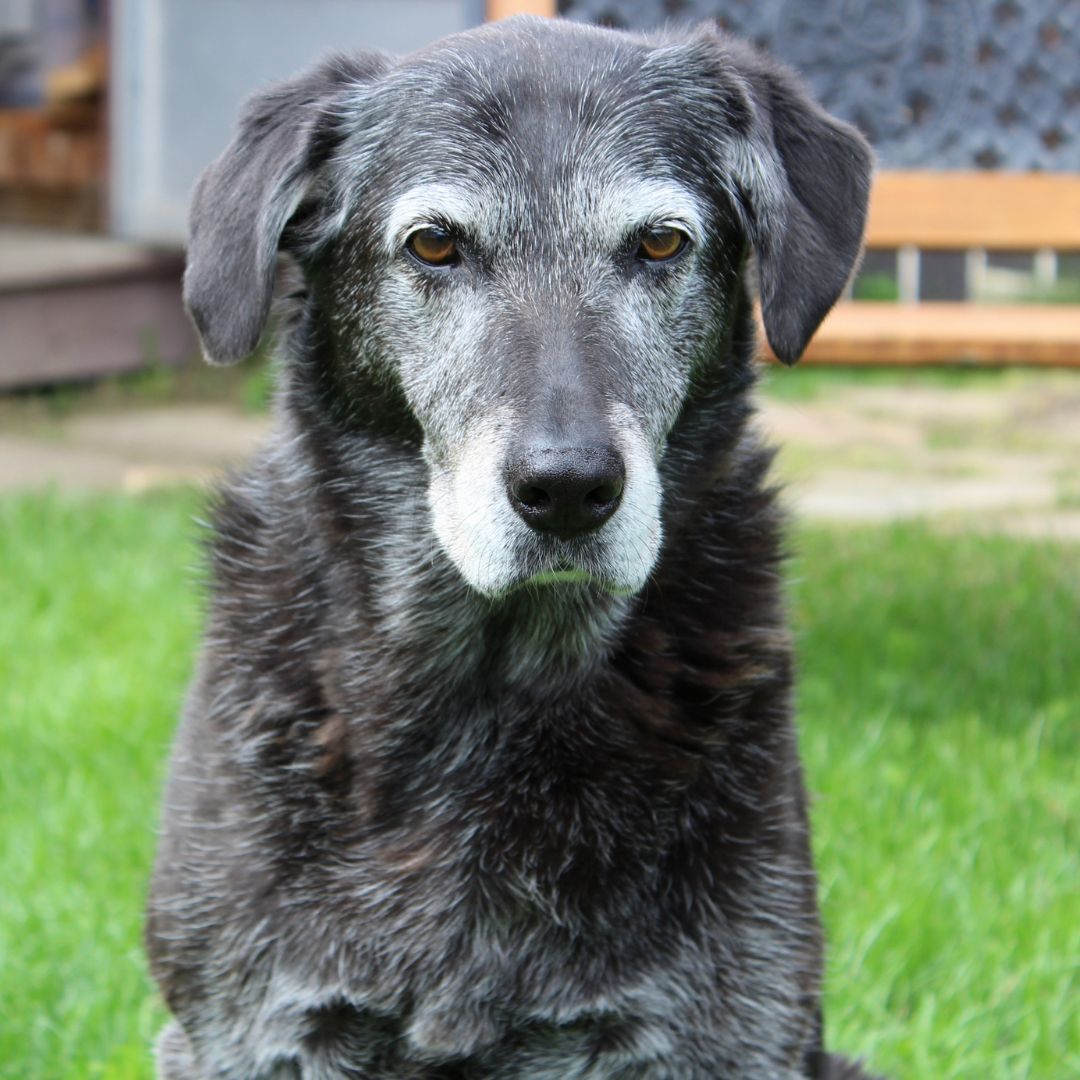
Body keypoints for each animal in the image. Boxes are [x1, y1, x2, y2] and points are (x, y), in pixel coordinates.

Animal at [147, 16, 881, 1080]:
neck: (489, 691)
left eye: (660, 240)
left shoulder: (727, 1030)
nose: (567, 490)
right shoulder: (250, 1029)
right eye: (435, 243)